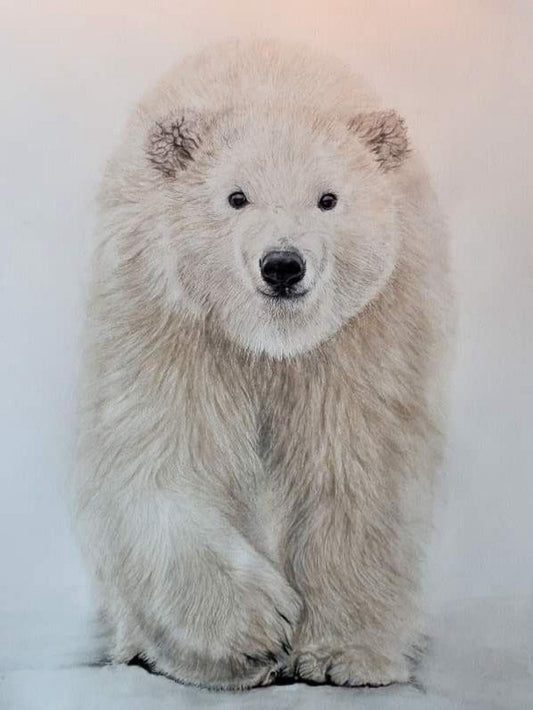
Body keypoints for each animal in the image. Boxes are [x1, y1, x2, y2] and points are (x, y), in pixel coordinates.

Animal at [72, 37, 452, 690]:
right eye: (236, 196)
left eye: (328, 198)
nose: (282, 265)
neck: (272, 345)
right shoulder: (168, 321)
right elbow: (163, 457)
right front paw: (257, 631)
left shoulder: (366, 336)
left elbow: (357, 471)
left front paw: (346, 657)